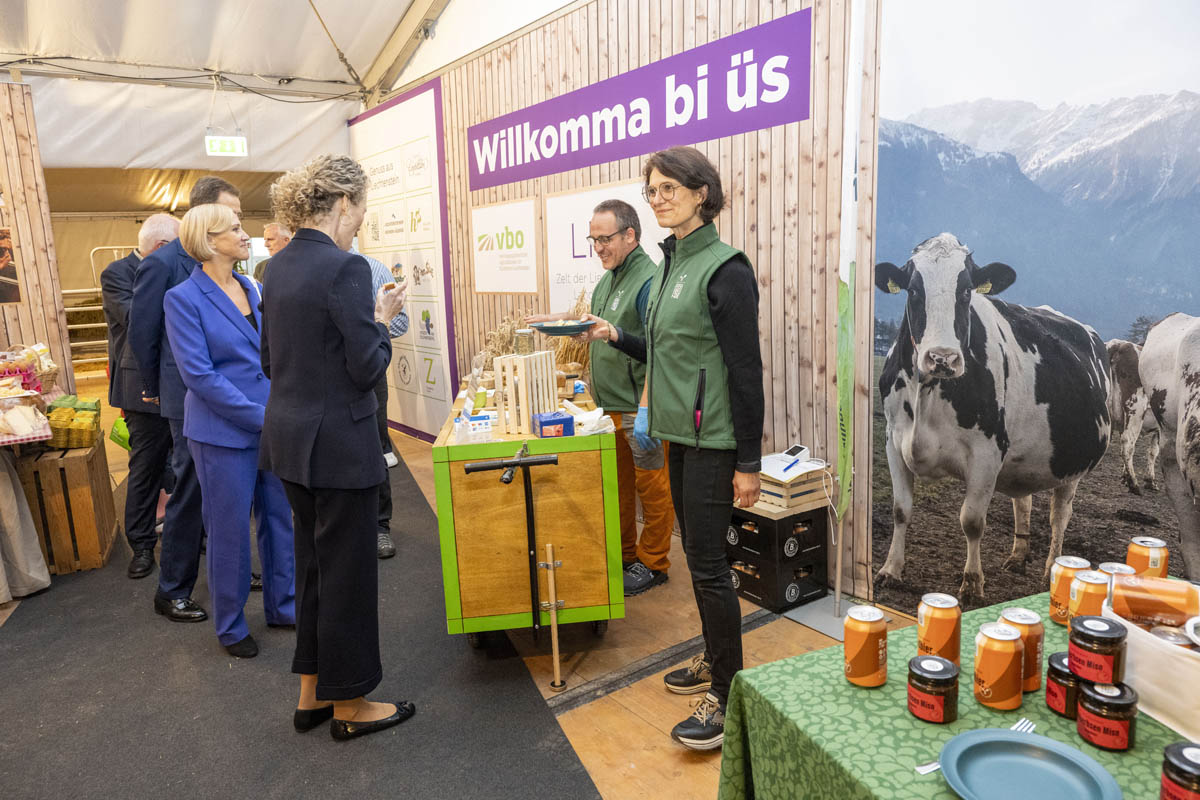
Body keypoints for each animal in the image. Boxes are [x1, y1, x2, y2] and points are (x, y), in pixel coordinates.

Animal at [875, 233, 1111, 600]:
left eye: (966, 291)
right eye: (913, 290)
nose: (941, 358)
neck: (927, 391)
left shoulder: (987, 451)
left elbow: (972, 520)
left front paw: (972, 582)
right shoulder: (893, 440)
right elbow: (902, 511)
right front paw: (891, 570)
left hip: (1072, 465)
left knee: (1060, 516)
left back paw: (1051, 570)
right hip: (1026, 458)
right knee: (1023, 502)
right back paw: (1018, 556)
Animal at [1105, 339, 1160, 494]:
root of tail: (1119, 344)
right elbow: (1154, 452)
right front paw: (1150, 481)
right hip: (1136, 409)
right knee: (1127, 443)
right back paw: (1134, 484)